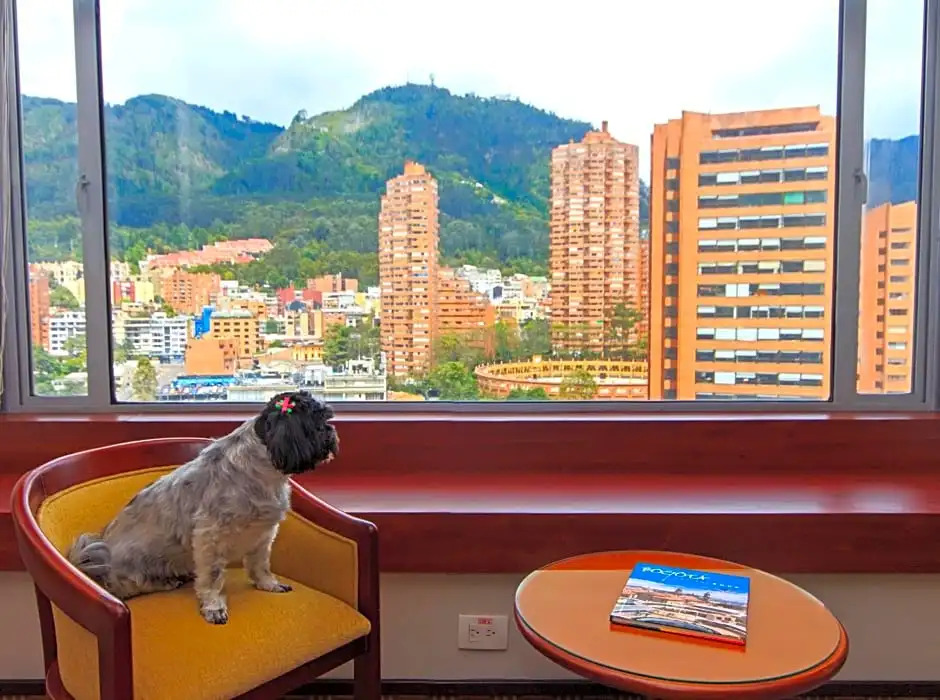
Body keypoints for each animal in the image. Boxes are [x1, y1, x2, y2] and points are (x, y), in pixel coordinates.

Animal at [66, 390, 339, 625]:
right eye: (317, 424)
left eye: (326, 420)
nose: (331, 433)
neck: (261, 471)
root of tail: (94, 566)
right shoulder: (210, 538)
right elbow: (212, 578)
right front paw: (214, 607)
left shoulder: (262, 534)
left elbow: (260, 564)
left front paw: (268, 584)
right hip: (135, 566)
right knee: (129, 586)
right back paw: (165, 582)